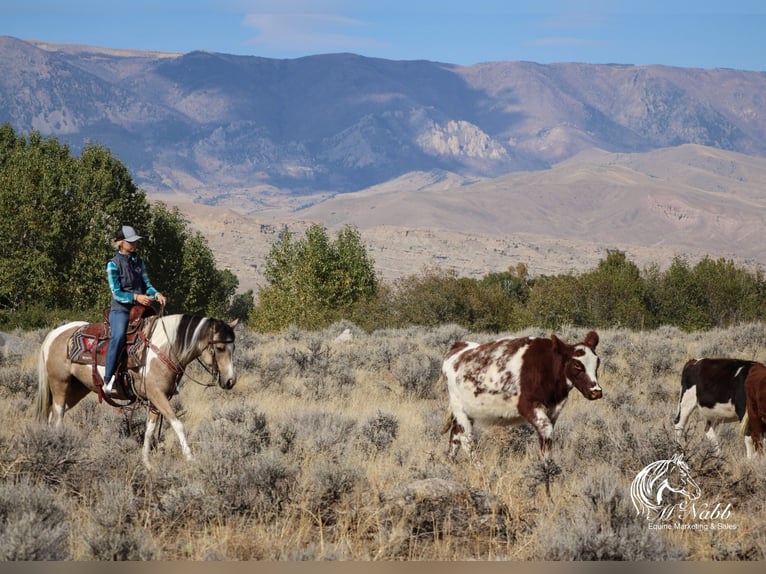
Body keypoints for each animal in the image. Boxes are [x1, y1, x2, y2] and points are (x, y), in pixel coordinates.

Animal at [37, 312, 236, 470]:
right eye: (219, 348)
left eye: (233, 347)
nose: (230, 381)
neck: (165, 349)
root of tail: (54, 334)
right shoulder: (158, 395)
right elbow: (178, 424)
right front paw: (190, 459)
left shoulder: (157, 400)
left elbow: (150, 430)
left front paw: (146, 462)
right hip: (60, 384)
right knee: (58, 416)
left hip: (77, 389)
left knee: (53, 416)